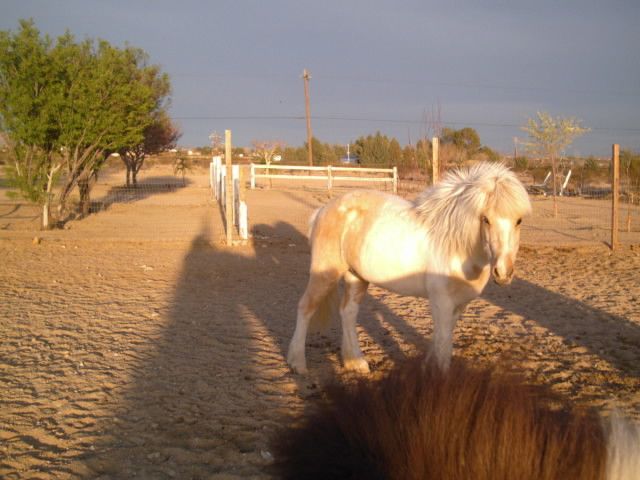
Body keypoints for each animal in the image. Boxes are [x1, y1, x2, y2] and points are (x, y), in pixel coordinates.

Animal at [288, 163, 532, 374]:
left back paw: (355, 362)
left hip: (356, 277)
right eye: (485, 219)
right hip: (325, 273)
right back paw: (298, 363)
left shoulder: (458, 305)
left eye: (519, 221)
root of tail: (322, 210)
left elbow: (443, 339)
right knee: (305, 307)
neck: (456, 246)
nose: (503, 273)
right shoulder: (442, 302)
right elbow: (443, 343)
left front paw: (427, 368)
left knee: (348, 312)